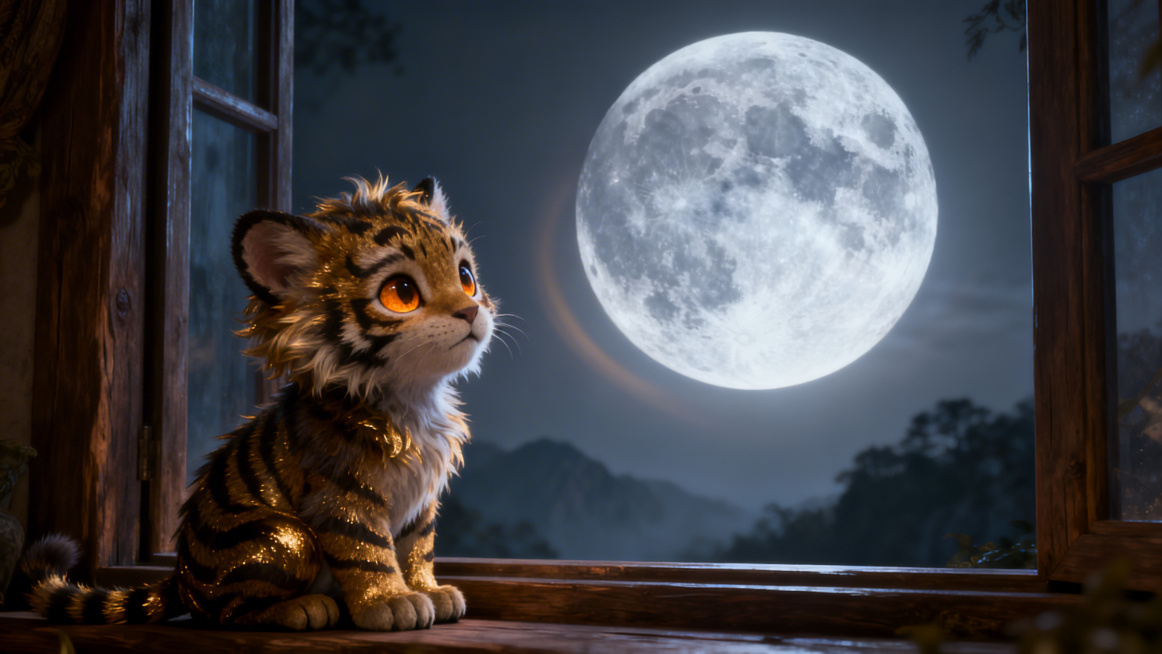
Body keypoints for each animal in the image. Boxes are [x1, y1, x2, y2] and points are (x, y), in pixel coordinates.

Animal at [27, 175, 495, 631]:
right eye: (402, 293)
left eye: (466, 277)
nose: (471, 311)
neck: (415, 397)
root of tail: (179, 578)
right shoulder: (341, 497)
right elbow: (369, 554)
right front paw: (392, 603)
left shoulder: (422, 502)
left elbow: (417, 547)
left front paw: (431, 591)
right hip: (285, 539)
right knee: (224, 613)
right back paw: (304, 609)